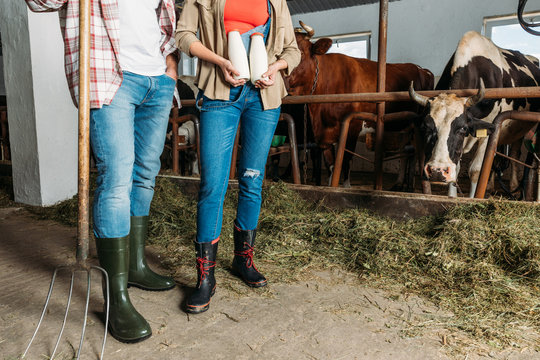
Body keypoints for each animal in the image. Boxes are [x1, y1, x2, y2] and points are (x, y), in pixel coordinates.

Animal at [284, 21, 432, 188]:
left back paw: (409, 184)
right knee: (405, 152)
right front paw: (330, 185)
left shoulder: (352, 126)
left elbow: (346, 161)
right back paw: (399, 182)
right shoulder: (324, 135)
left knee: (413, 153)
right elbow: (331, 165)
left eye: (300, 54)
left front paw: (346, 187)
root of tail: (421, 69)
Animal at [410, 31, 540, 197]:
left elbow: (476, 170)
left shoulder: (489, 132)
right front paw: (452, 197)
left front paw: (473, 198)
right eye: (426, 127)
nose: (437, 171)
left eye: (463, 128)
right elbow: (458, 169)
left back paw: (514, 187)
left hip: (520, 128)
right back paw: (490, 186)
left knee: (515, 154)